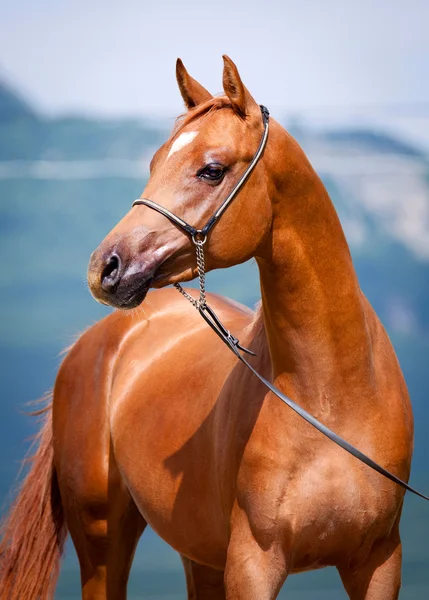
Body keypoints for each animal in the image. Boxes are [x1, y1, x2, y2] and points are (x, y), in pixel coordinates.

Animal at [1, 56, 412, 600]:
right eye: (155, 163)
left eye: (211, 170)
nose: (105, 267)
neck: (333, 396)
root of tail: (94, 345)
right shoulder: (253, 565)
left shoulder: (379, 561)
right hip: (102, 539)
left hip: (199, 554)